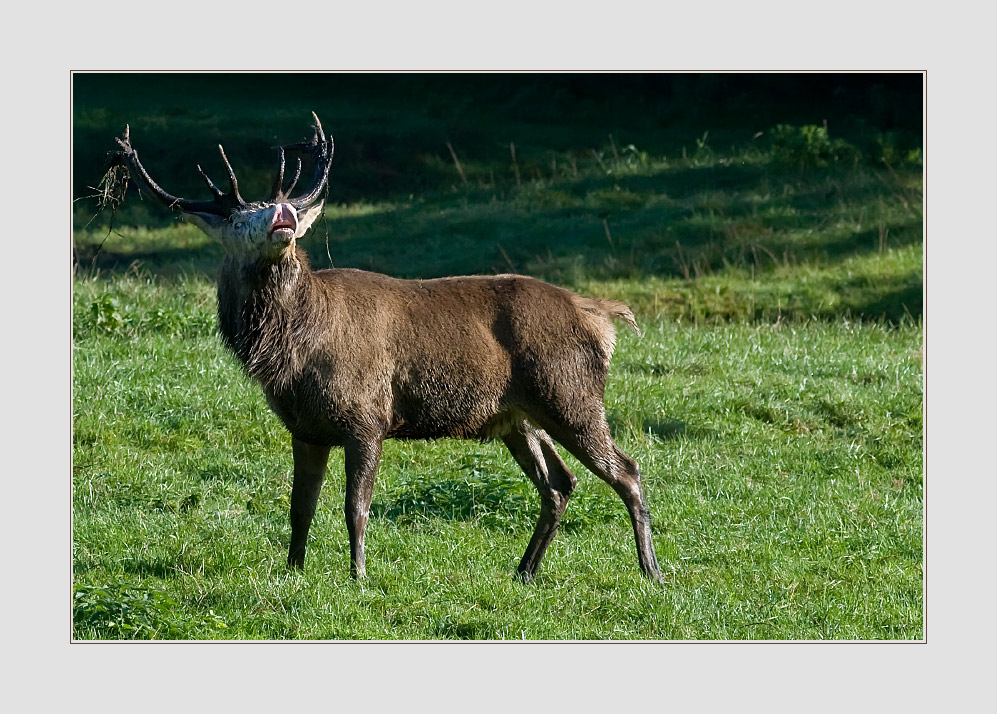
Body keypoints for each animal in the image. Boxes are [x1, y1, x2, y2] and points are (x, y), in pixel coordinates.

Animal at [105, 113, 663, 583]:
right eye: (241, 219)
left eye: (288, 210)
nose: (284, 213)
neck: (293, 355)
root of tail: (601, 315)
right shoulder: (305, 427)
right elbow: (299, 506)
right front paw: (293, 571)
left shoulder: (367, 415)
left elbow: (356, 507)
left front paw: (358, 575)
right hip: (518, 418)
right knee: (559, 484)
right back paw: (524, 571)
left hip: (570, 393)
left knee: (627, 470)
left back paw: (651, 572)